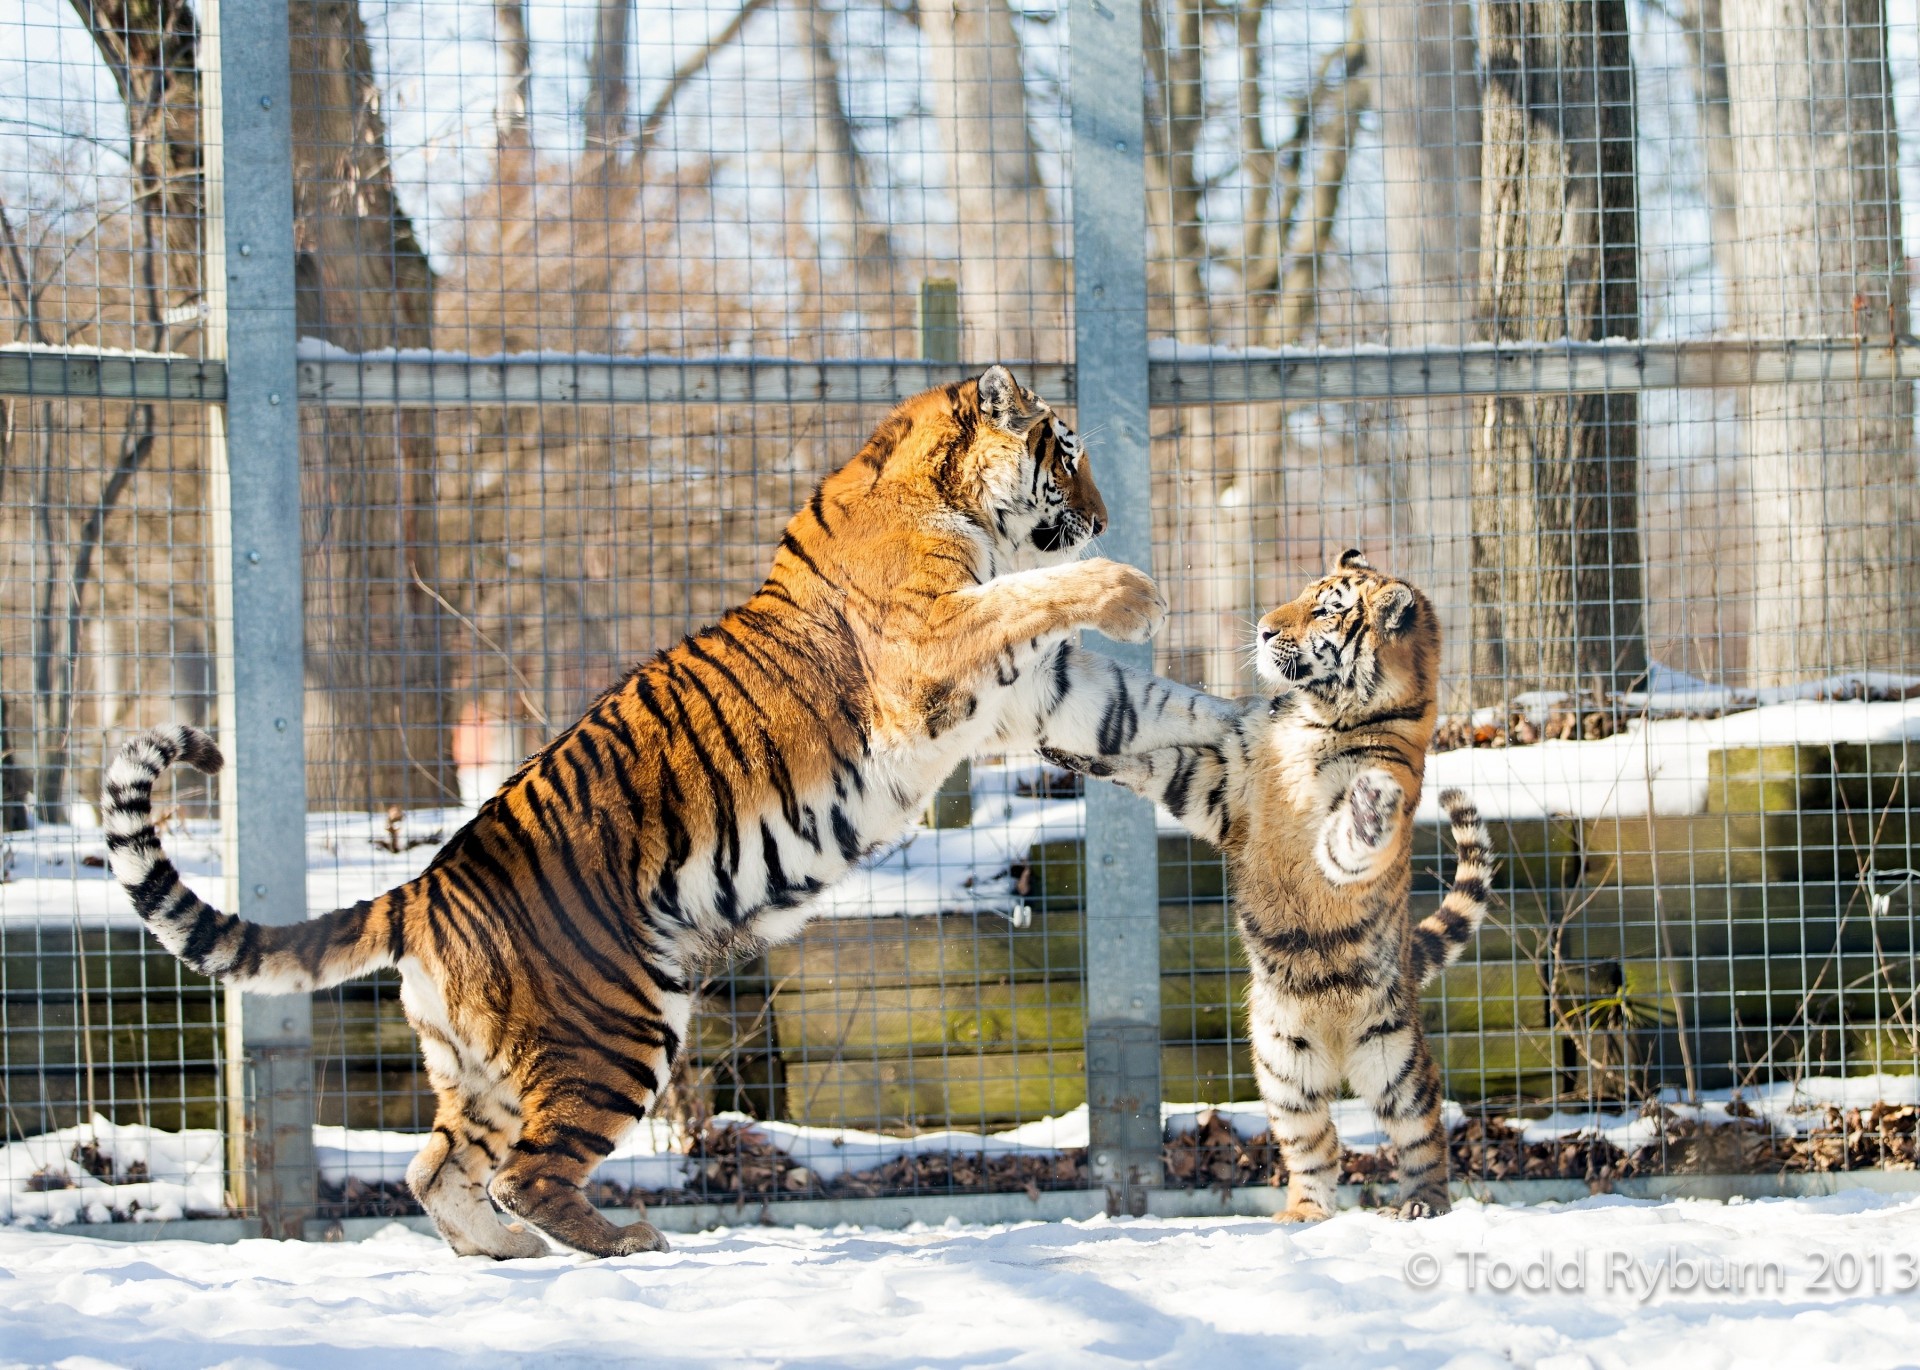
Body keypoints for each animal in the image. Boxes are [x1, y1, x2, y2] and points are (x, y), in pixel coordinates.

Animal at [102, 366, 1240, 1259]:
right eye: (1068, 451)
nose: (1102, 516)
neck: (953, 502)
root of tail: (422, 885)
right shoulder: (934, 647)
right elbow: (1035, 599)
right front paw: (1135, 588)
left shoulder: (1043, 693)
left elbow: (1162, 710)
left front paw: (1255, 725)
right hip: (617, 1026)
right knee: (525, 1171)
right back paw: (618, 1240)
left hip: (483, 1065)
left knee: (437, 1168)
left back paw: (506, 1252)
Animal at [1042, 550, 1493, 1220]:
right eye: (1304, 595)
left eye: (1326, 610)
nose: (1261, 629)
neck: (1317, 715)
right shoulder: (1223, 787)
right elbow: (1155, 763)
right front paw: (1063, 753)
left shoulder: (1323, 830)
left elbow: (1349, 838)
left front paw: (1373, 803)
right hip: (1284, 1072)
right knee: (1318, 1145)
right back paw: (1302, 1214)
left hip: (1395, 1061)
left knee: (1424, 1133)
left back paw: (1421, 1204)